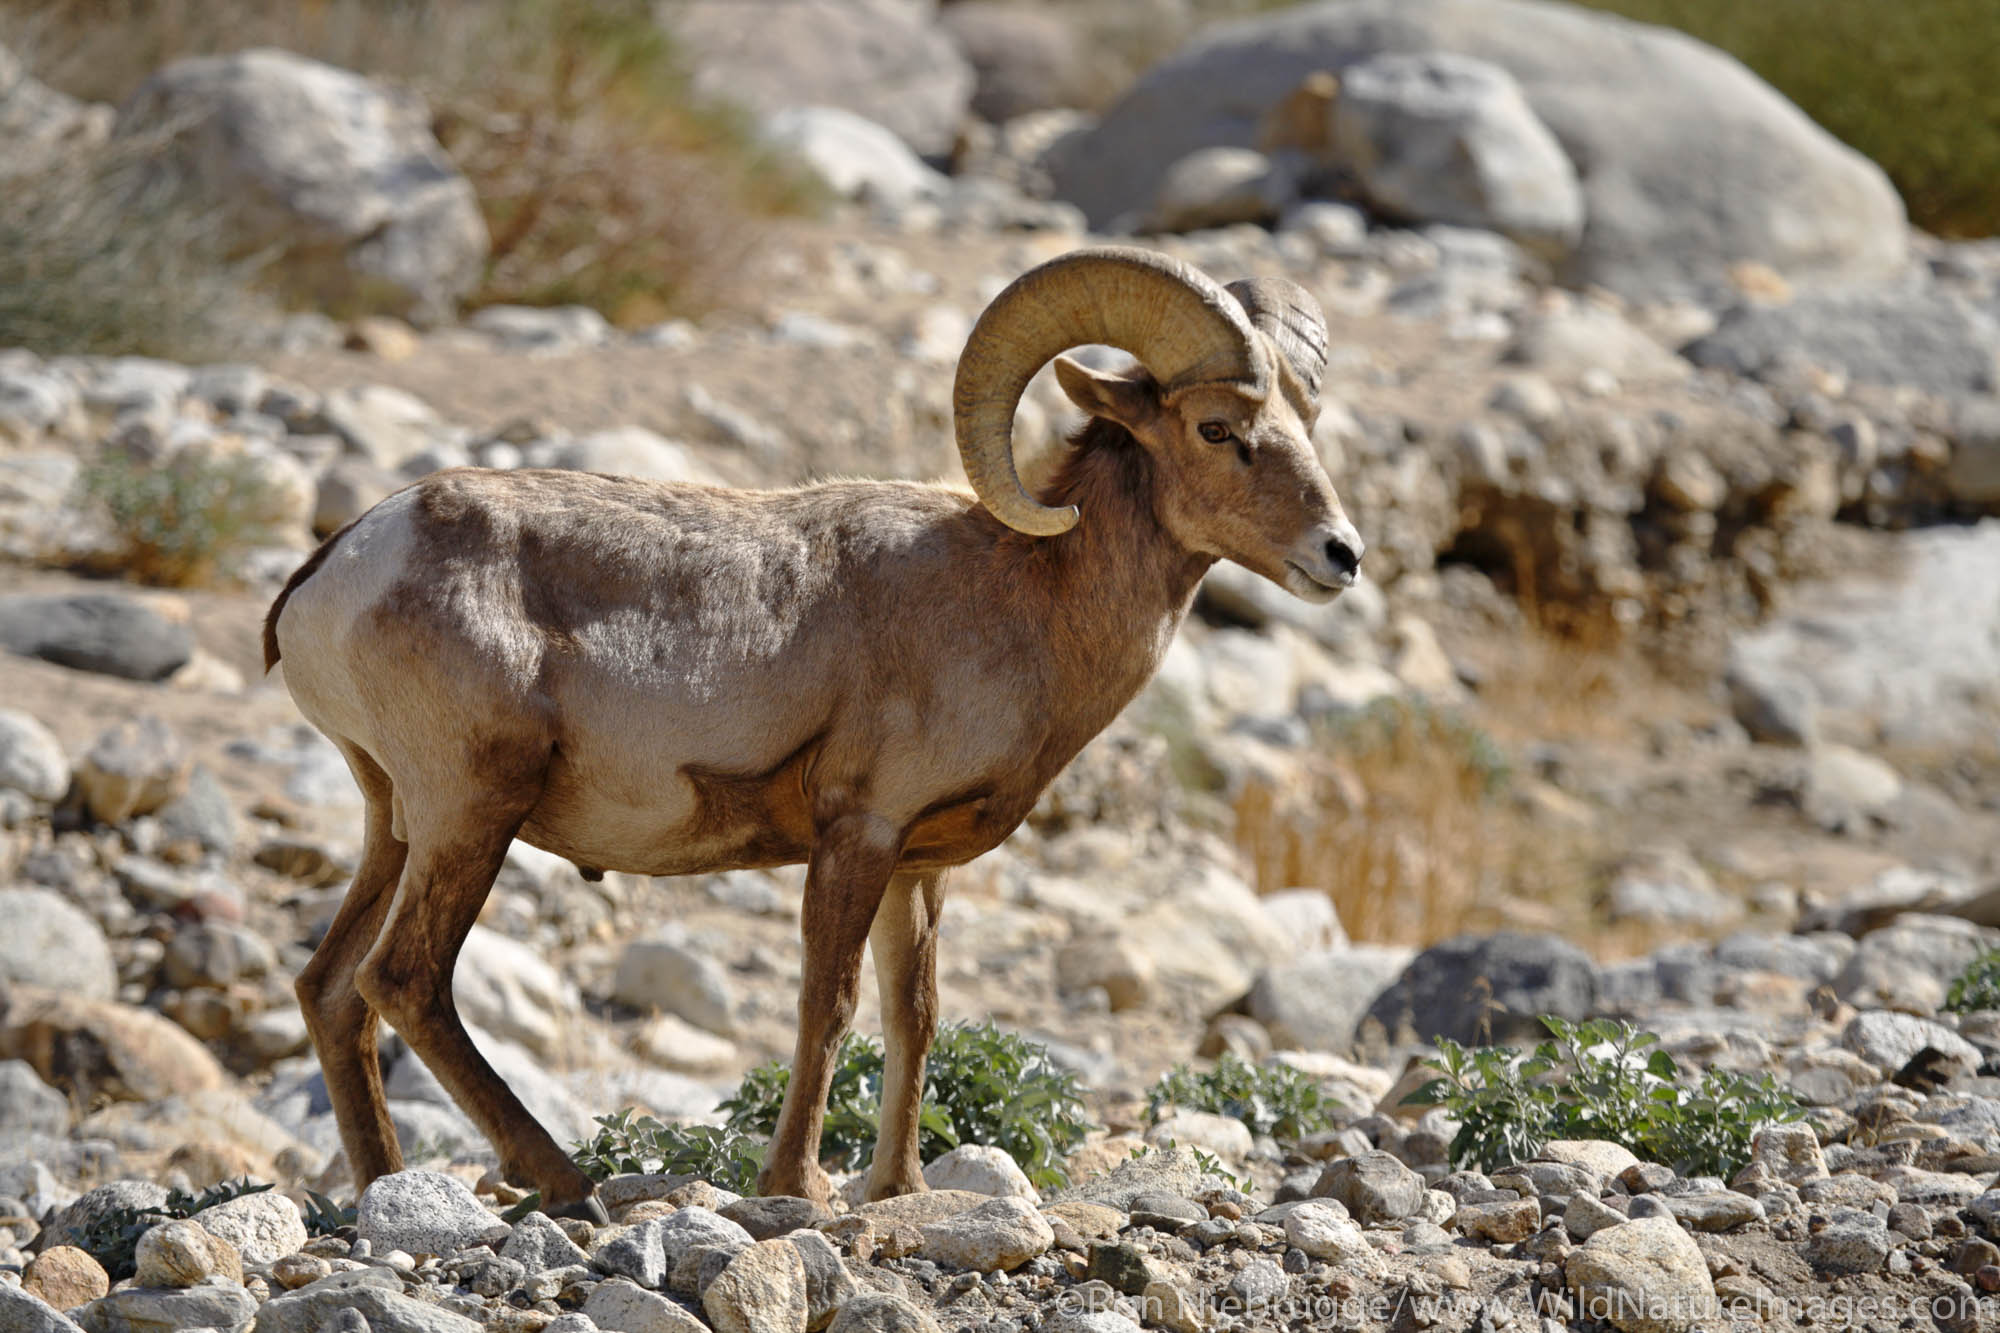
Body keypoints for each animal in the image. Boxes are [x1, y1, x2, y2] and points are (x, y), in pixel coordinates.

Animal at [262, 241, 1360, 1216]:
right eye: (1216, 428)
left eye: (1305, 419)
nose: (1339, 554)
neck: (1025, 595)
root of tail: (341, 566)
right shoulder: (856, 835)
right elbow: (827, 1007)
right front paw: (795, 1184)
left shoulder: (917, 868)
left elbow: (911, 1016)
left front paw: (900, 1187)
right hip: (472, 811)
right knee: (406, 980)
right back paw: (565, 1182)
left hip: (397, 823)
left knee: (332, 990)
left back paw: (384, 1186)